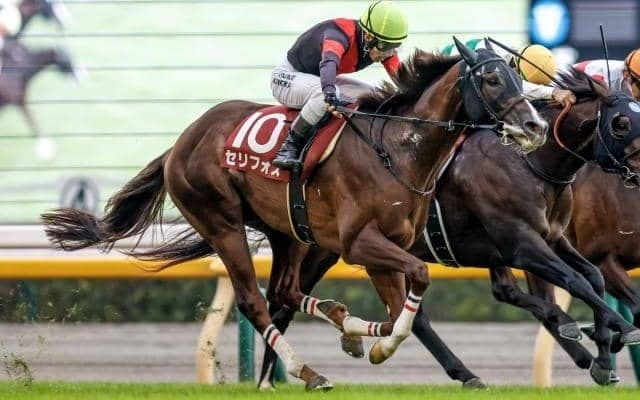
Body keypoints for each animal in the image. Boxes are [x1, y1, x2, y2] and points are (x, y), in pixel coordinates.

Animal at [41, 40, 548, 390]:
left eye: (518, 78)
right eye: (491, 79)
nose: (535, 125)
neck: (400, 147)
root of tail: (183, 140)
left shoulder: (385, 247)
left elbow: (401, 309)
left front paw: (364, 337)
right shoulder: (359, 244)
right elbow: (416, 286)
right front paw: (377, 343)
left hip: (291, 231)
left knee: (285, 289)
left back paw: (331, 333)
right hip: (223, 222)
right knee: (255, 299)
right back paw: (308, 369)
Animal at [256, 68, 640, 389]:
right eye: (621, 122)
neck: (530, 162)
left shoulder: (552, 238)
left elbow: (591, 278)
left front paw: (602, 356)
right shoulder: (521, 243)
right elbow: (578, 283)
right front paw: (615, 333)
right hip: (327, 246)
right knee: (285, 303)